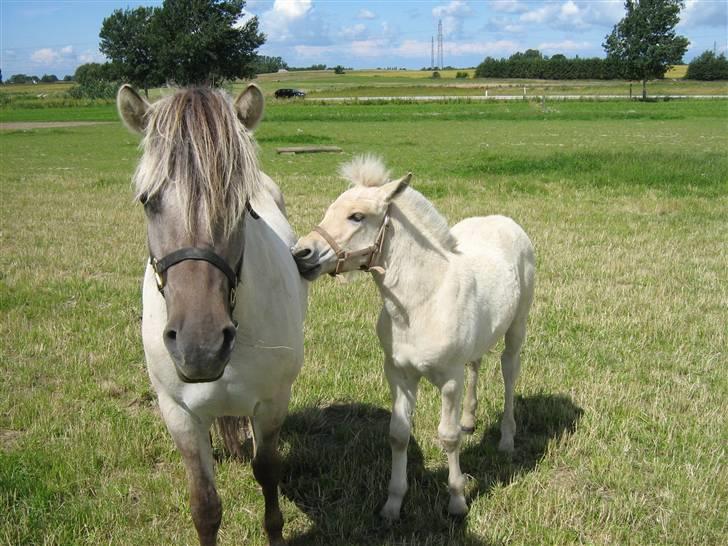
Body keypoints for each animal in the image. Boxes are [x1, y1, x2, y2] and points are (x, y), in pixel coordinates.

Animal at [118, 83, 306, 540]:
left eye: (242, 206)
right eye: (147, 201)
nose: (199, 347)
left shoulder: (272, 402)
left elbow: (267, 473)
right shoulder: (179, 415)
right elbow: (204, 506)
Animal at [292, 154, 536, 520]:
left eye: (357, 216)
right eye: (329, 210)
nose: (301, 254)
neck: (421, 303)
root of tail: (504, 221)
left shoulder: (449, 380)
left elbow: (448, 437)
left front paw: (457, 501)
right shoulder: (398, 373)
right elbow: (398, 435)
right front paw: (392, 506)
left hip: (516, 327)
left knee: (509, 373)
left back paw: (507, 440)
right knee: (476, 364)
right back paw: (470, 420)